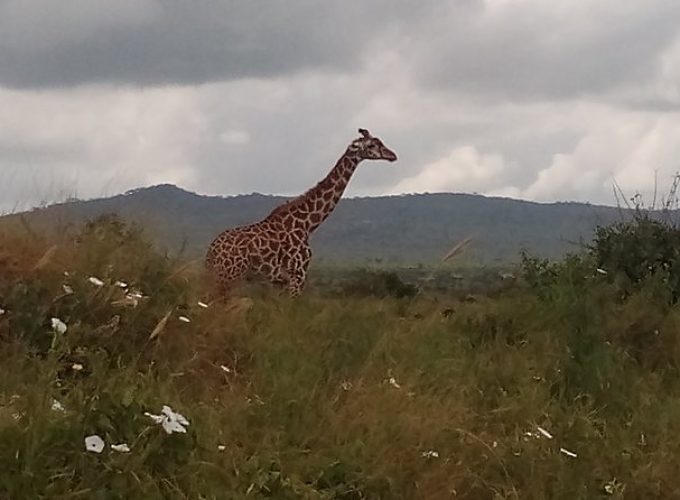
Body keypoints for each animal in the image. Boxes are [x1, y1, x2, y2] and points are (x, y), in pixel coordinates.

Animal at [207, 128, 398, 296]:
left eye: (380, 141)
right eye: (372, 145)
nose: (393, 155)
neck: (307, 225)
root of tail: (211, 252)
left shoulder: (279, 281)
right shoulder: (298, 275)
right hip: (229, 276)